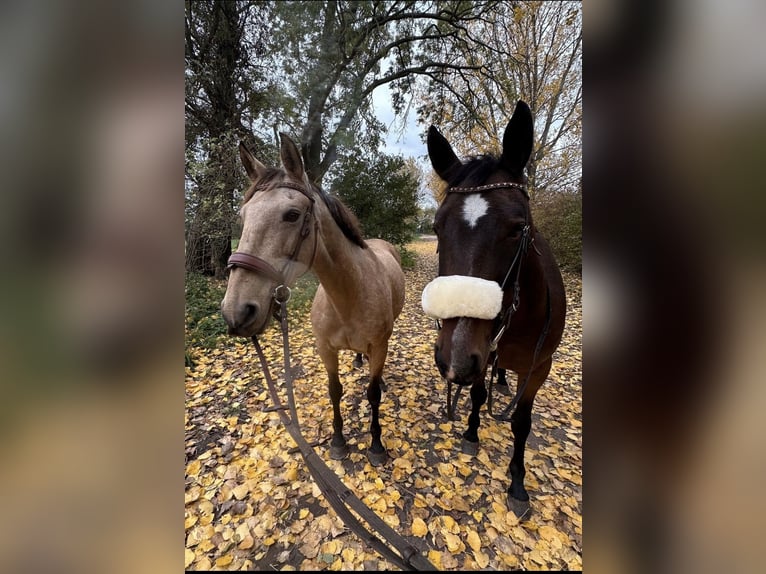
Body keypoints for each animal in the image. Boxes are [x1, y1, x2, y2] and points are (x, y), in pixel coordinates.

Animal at [222, 134, 408, 468]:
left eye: (292, 215)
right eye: (243, 217)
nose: (237, 312)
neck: (348, 296)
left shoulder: (379, 345)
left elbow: (373, 394)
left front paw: (376, 445)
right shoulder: (325, 349)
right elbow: (335, 391)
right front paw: (337, 442)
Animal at [424, 100, 568, 516]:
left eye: (518, 229)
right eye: (437, 228)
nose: (454, 360)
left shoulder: (539, 368)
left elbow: (521, 422)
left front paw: (517, 482)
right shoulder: (483, 352)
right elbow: (476, 395)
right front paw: (472, 432)